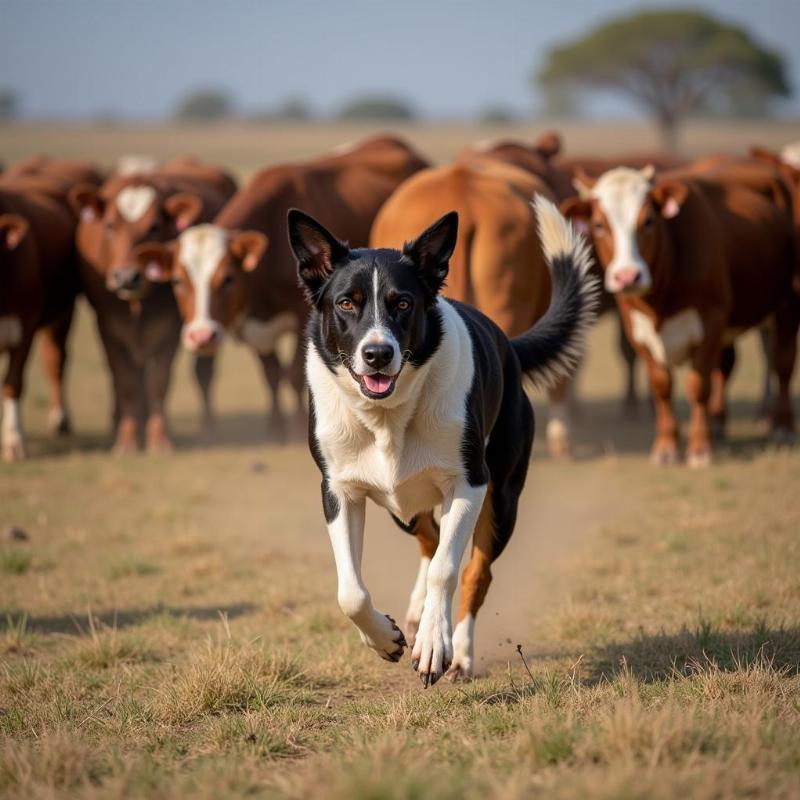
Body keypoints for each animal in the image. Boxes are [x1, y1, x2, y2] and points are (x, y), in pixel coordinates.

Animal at [69, 159, 236, 454]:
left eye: (155, 227)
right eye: (109, 225)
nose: (127, 276)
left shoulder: (170, 330)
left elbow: (159, 382)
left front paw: (159, 440)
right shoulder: (107, 327)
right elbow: (126, 382)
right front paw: (126, 440)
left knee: (203, 374)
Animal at [136, 134, 432, 440]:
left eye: (228, 278)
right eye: (177, 281)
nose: (202, 336)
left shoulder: (304, 317)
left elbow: (293, 375)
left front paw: (297, 429)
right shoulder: (255, 324)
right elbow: (271, 374)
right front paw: (275, 429)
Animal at [290, 197, 596, 684]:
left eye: (402, 303)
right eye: (345, 303)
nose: (378, 354)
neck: (388, 417)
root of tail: (509, 346)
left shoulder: (469, 484)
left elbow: (448, 570)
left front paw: (435, 646)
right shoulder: (338, 490)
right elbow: (350, 592)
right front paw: (387, 638)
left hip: (503, 496)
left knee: (474, 572)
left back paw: (462, 654)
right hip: (403, 505)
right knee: (429, 537)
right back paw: (416, 613)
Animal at [564, 167, 800, 468]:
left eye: (649, 220)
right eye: (598, 225)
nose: (628, 276)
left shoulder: (710, 321)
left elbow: (698, 386)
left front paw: (700, 448)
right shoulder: (636, 328)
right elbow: (662, 386)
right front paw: (666, 447)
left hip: (788, 305)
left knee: (783, 364)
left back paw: (782, 427)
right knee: (726, 365)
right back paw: (718, 422)